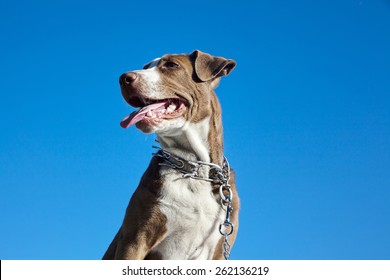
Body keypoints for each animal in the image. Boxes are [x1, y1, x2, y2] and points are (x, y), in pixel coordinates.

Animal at [102, 50, 239, 260]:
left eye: (172, 65)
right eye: (145, 67)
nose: (123, 78)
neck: (194, 168)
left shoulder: (218, 250)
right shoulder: (134, 240)